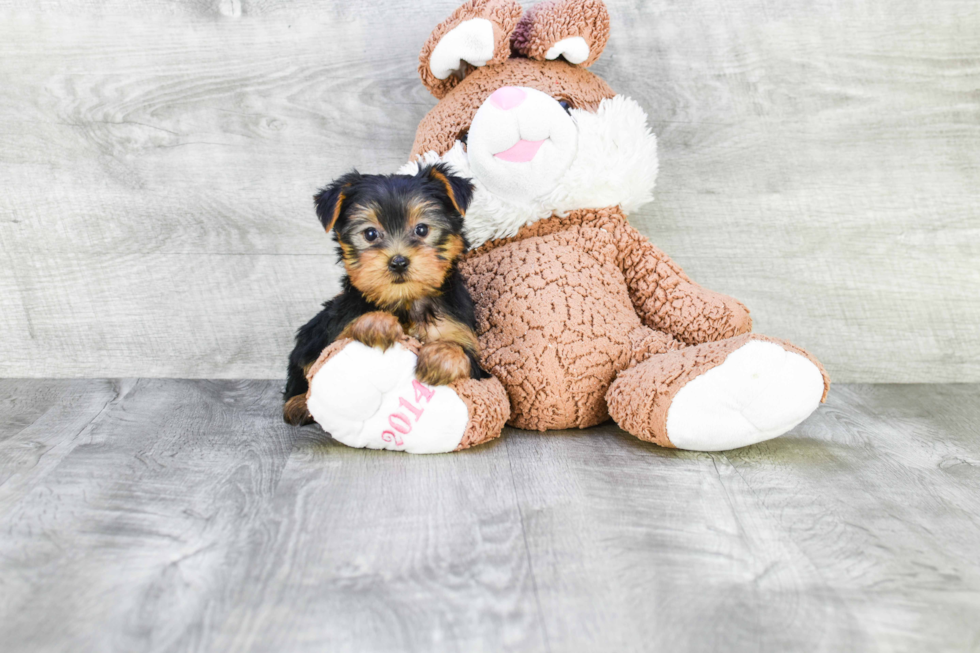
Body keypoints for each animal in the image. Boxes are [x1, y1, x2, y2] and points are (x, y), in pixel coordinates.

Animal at [284, 166, 490, 426]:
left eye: (422, 229)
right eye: (370, 234)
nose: (398, 261)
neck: (405, 301)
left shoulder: (464, 342)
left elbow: (462, 353)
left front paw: (440, 358)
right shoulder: (337, 330)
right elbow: (340, 339)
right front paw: (377, 323)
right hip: (312, 334)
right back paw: (298, 403)